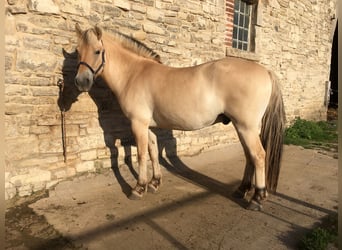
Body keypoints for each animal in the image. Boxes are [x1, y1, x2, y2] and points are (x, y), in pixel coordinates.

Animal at [75, 23, 286, 211]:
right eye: (78, 51)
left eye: (97, 51)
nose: (81, 81)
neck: (133, 74)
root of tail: (266, 71)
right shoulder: (147, 126)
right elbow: (153, 151)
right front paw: (155, 183)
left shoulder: (138, 124)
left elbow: (141, 154)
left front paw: (139, 188)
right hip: (242, 127)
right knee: (250, 156)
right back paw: (242, 190)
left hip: (246, 126)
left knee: (258, 156)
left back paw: (257, 198)